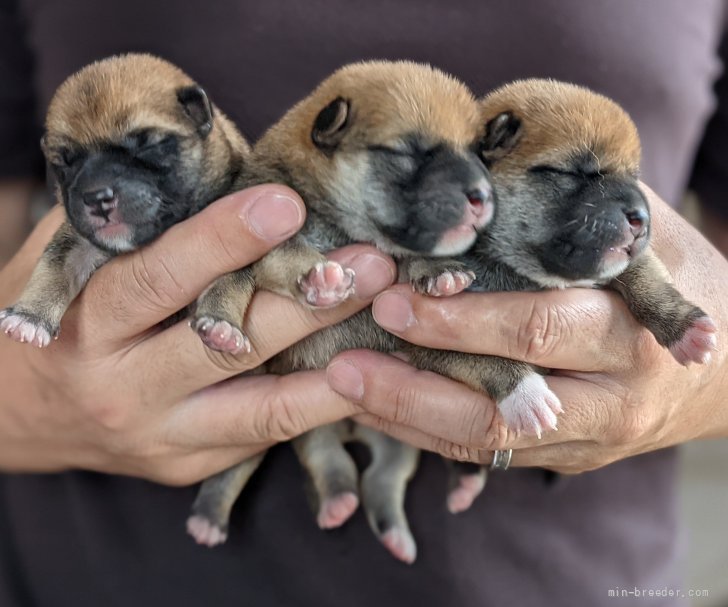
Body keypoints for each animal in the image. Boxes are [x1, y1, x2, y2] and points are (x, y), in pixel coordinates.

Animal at [0, 54, 249, 346]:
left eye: (147, 146)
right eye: (65, 163)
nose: (96, 199)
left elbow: (232, 278)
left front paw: (221, 322)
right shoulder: (78, 241)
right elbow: (54, 267)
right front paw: (29, 317)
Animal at [188, 61, 494, 564]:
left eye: (479, 155)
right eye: (409, 153)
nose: (483, 195)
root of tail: (350, 426)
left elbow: (412, 259)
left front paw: (440, 273)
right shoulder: (273, 235)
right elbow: (286, 255)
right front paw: (320, 278)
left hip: (398, 443)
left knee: (381, 479)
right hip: (280, 434)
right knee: (280, 466)